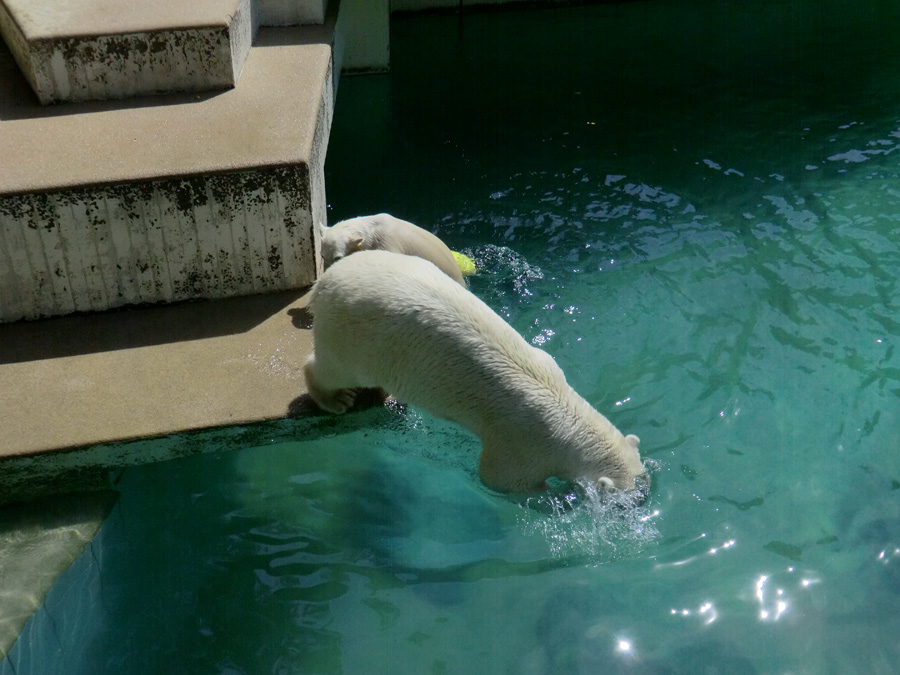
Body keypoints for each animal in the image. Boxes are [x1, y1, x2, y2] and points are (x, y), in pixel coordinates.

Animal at [304, 251, 648, 494]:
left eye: (644, 484)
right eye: (622, 502)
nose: (639, 503)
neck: (566, 414)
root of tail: (325, 280)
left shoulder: (549, 362)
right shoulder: (522, 443)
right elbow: (501, 480)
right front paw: (559, 497)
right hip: (356, 332)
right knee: (334, 369)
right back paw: (336, 398)